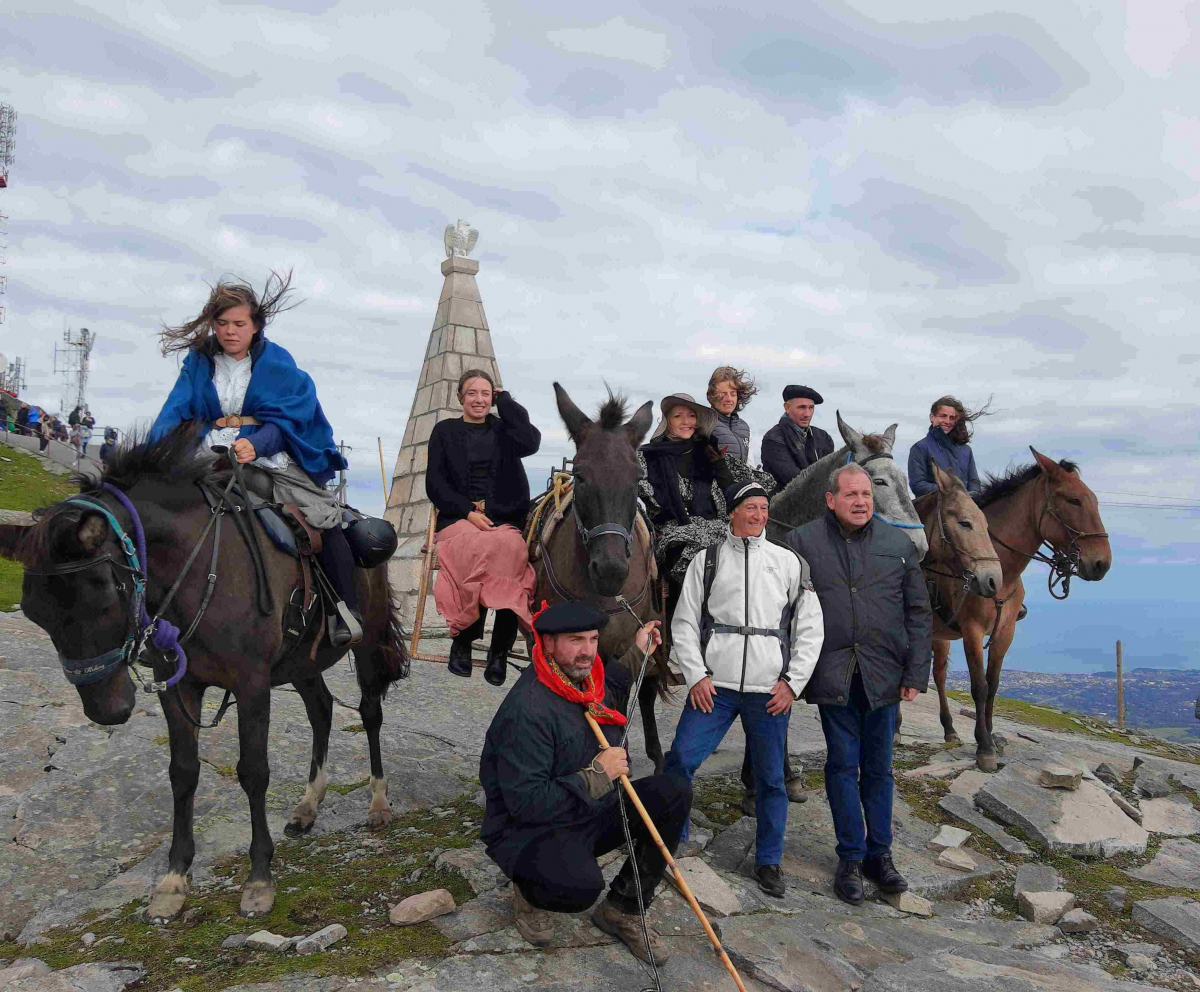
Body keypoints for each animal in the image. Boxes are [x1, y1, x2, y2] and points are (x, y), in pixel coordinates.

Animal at [907, 446, 1113, 772]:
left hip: (938, 636)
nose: (1102, 563)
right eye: (1073, 500)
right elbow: (978, 686)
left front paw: (990, 736)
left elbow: (992, 685)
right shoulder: (972, 632)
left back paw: (950, 730)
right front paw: (984, 749)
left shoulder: (1005, 632)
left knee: (938, 674)